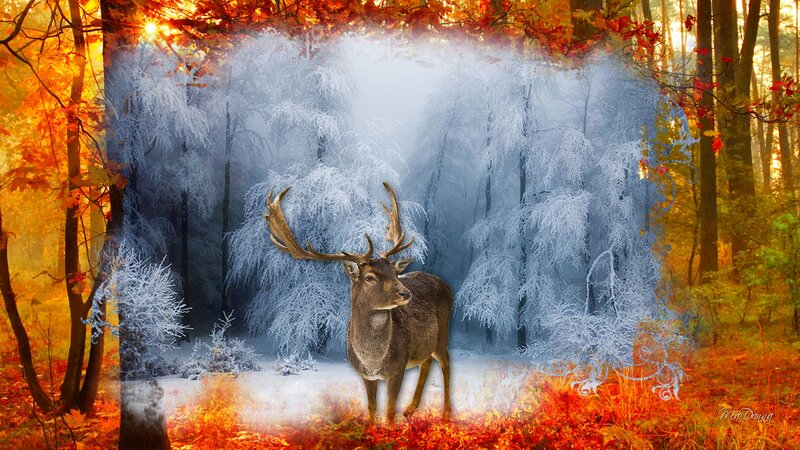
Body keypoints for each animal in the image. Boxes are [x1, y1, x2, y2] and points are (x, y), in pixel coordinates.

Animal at [264, 182, 452, 423]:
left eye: (394, 272)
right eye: (369, 277)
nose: (405, 293)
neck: (373, 361)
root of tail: (445, 284)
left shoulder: (398, 368)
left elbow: (389, 410)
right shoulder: (365, 375)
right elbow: (372, 407)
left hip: (443, 333)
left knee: (445, 363)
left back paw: (446, 414)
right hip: (425, 344)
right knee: (426, 363)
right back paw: (410, 409)